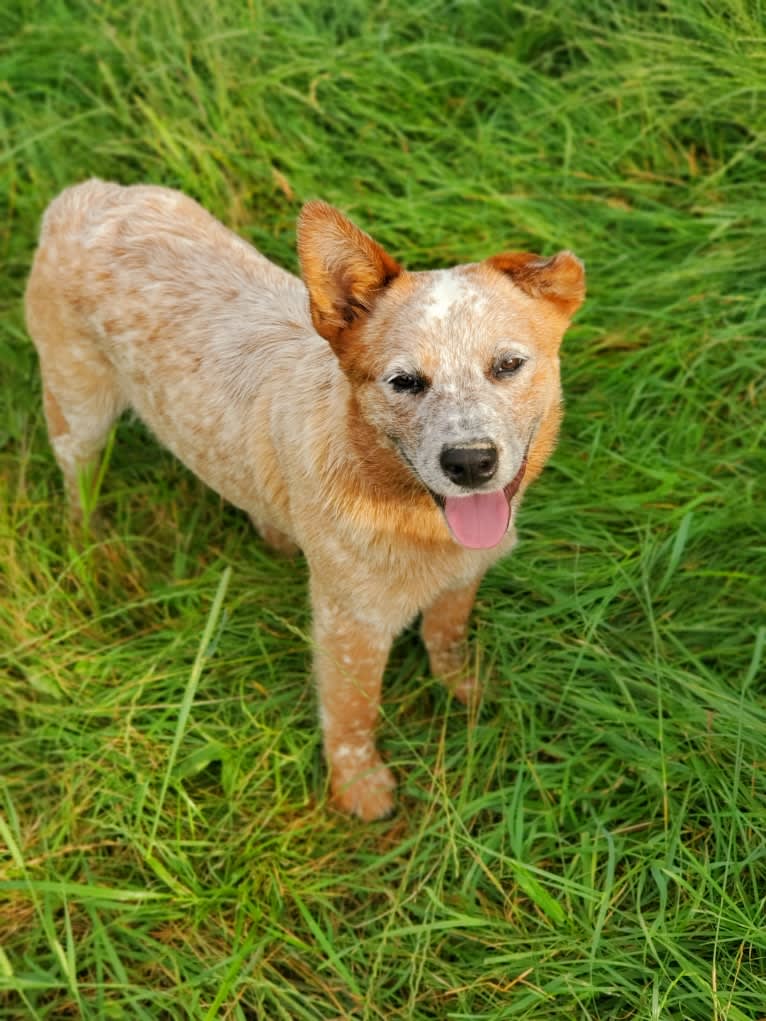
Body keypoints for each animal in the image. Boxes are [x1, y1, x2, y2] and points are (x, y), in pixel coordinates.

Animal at [25, 181, 588, 820]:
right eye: (404, 382)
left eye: (508, 364)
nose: (469, 462)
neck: (405, 508)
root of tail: (87, 193)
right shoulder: (352, 622)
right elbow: (352, 710)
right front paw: (359, 787)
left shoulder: (464, 575)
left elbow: (447, 636)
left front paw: (467, 687)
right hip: (79, 410)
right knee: (78, 480)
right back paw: (90, 548)